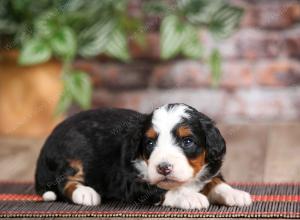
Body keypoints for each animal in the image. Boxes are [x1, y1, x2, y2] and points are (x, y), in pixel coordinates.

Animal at [35, 104, 252, 209]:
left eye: (187, 141)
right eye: (150, 143)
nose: (163, 167)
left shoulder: (210, 167)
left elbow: (216, 181)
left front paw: (235, 194)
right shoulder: (131, 182)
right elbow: (164, 189)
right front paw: (191, 197)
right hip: (72, 152)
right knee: (64, 181)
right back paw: (85, 193)